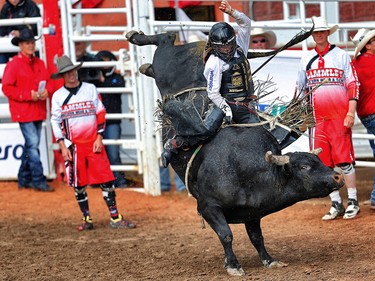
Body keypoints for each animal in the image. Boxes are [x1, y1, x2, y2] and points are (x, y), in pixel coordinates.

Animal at [127, 30, 346, 276]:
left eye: (318, 160)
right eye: (304, 167)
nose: (337, 176)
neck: (248, 170)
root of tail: (199, 44)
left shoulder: (253, 212)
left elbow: (257, 237)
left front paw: (269, 260)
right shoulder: (208, 206)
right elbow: (226, 235)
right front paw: (233, 265)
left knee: (162, 49)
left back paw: (143, 63)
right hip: (166, 63)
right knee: (165, 39)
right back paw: (137, 37)